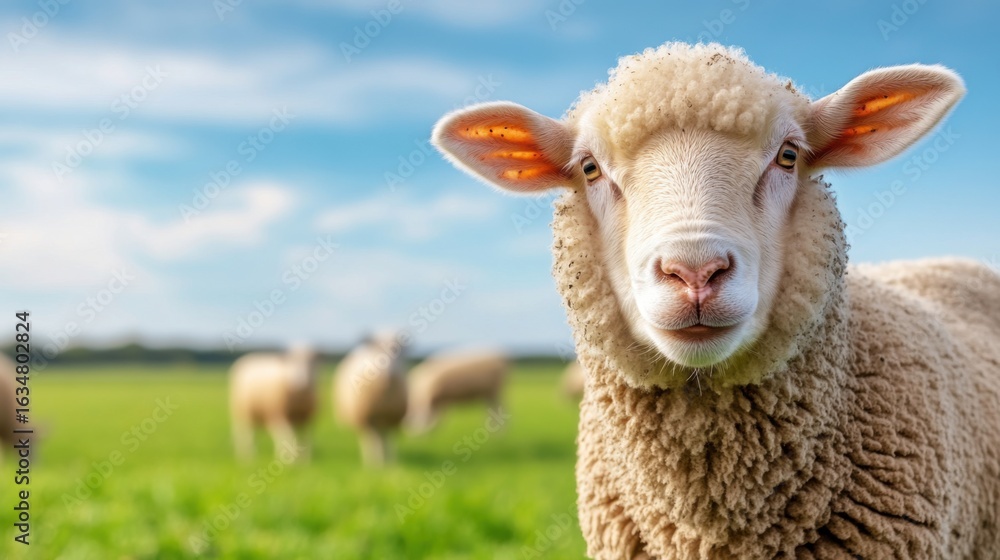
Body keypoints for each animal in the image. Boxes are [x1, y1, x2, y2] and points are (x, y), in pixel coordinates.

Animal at [333, 331, 408, 466]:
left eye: (400, 351)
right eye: (377, 349)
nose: (389, 374)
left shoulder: (393, 419)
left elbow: (389, 441)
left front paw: (390, 462)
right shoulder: (367, 418)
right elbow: (373, 440)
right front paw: (375, 463)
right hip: (361, 416)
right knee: (368, 438)